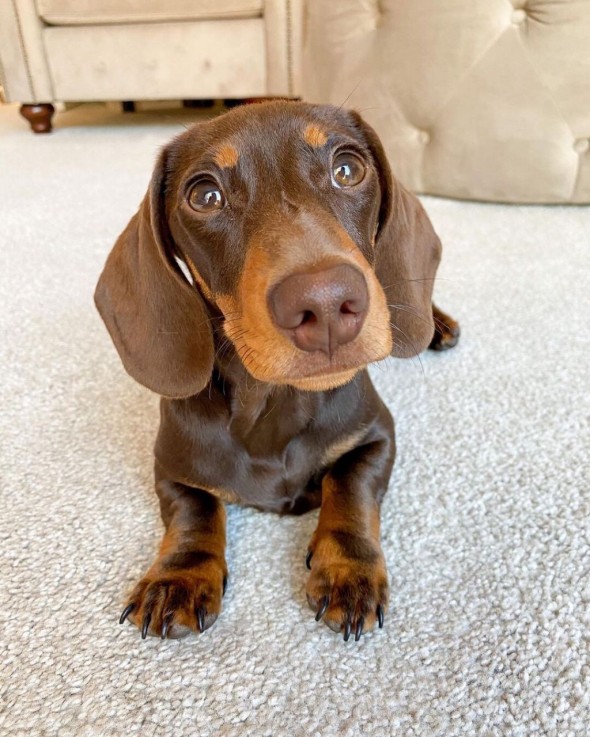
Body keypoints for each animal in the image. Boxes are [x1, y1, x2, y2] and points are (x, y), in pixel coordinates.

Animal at [95, 100, 460, 640]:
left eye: (347, 168)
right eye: (204, 195)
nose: (326, 304)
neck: (275, 401)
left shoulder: (377, 436)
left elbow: (349, 487)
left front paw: (348, 571)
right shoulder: (170, 466)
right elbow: (195, 510)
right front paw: (178, 577)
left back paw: (437, 325)